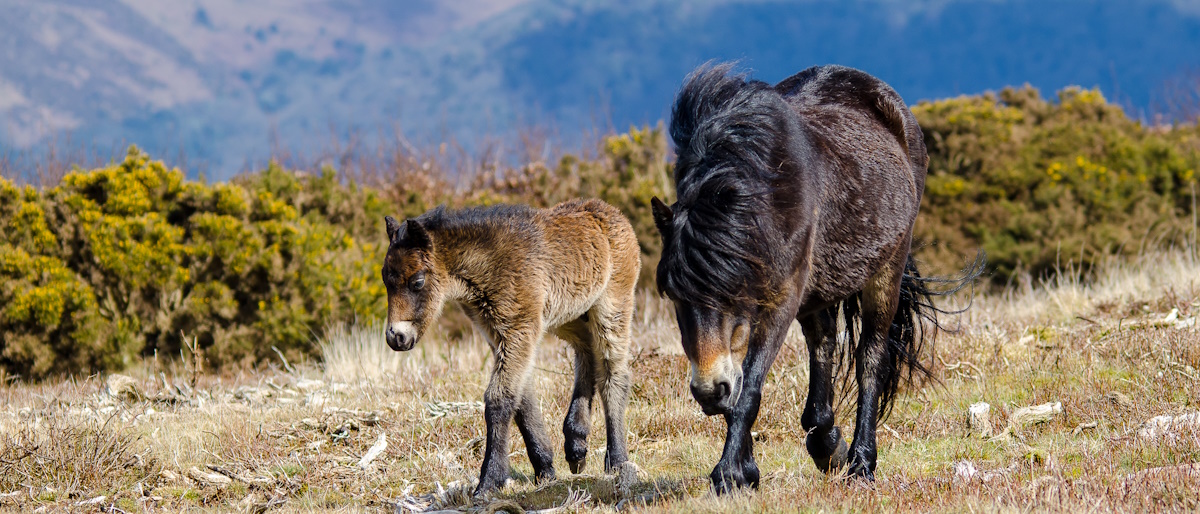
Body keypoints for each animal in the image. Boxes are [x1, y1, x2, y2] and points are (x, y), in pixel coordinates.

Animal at [652, 62, 979, 492]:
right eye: (673, 295)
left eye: (731, 290)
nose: (707, 390)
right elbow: (741, 385)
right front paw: (747, 470)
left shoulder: (781, 299)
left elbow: (748, 387)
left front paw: (728, 476)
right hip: (820, 290)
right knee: (824, 347)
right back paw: (828, 444)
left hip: (886, 270)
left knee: (870, 359)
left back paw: (861, 464)